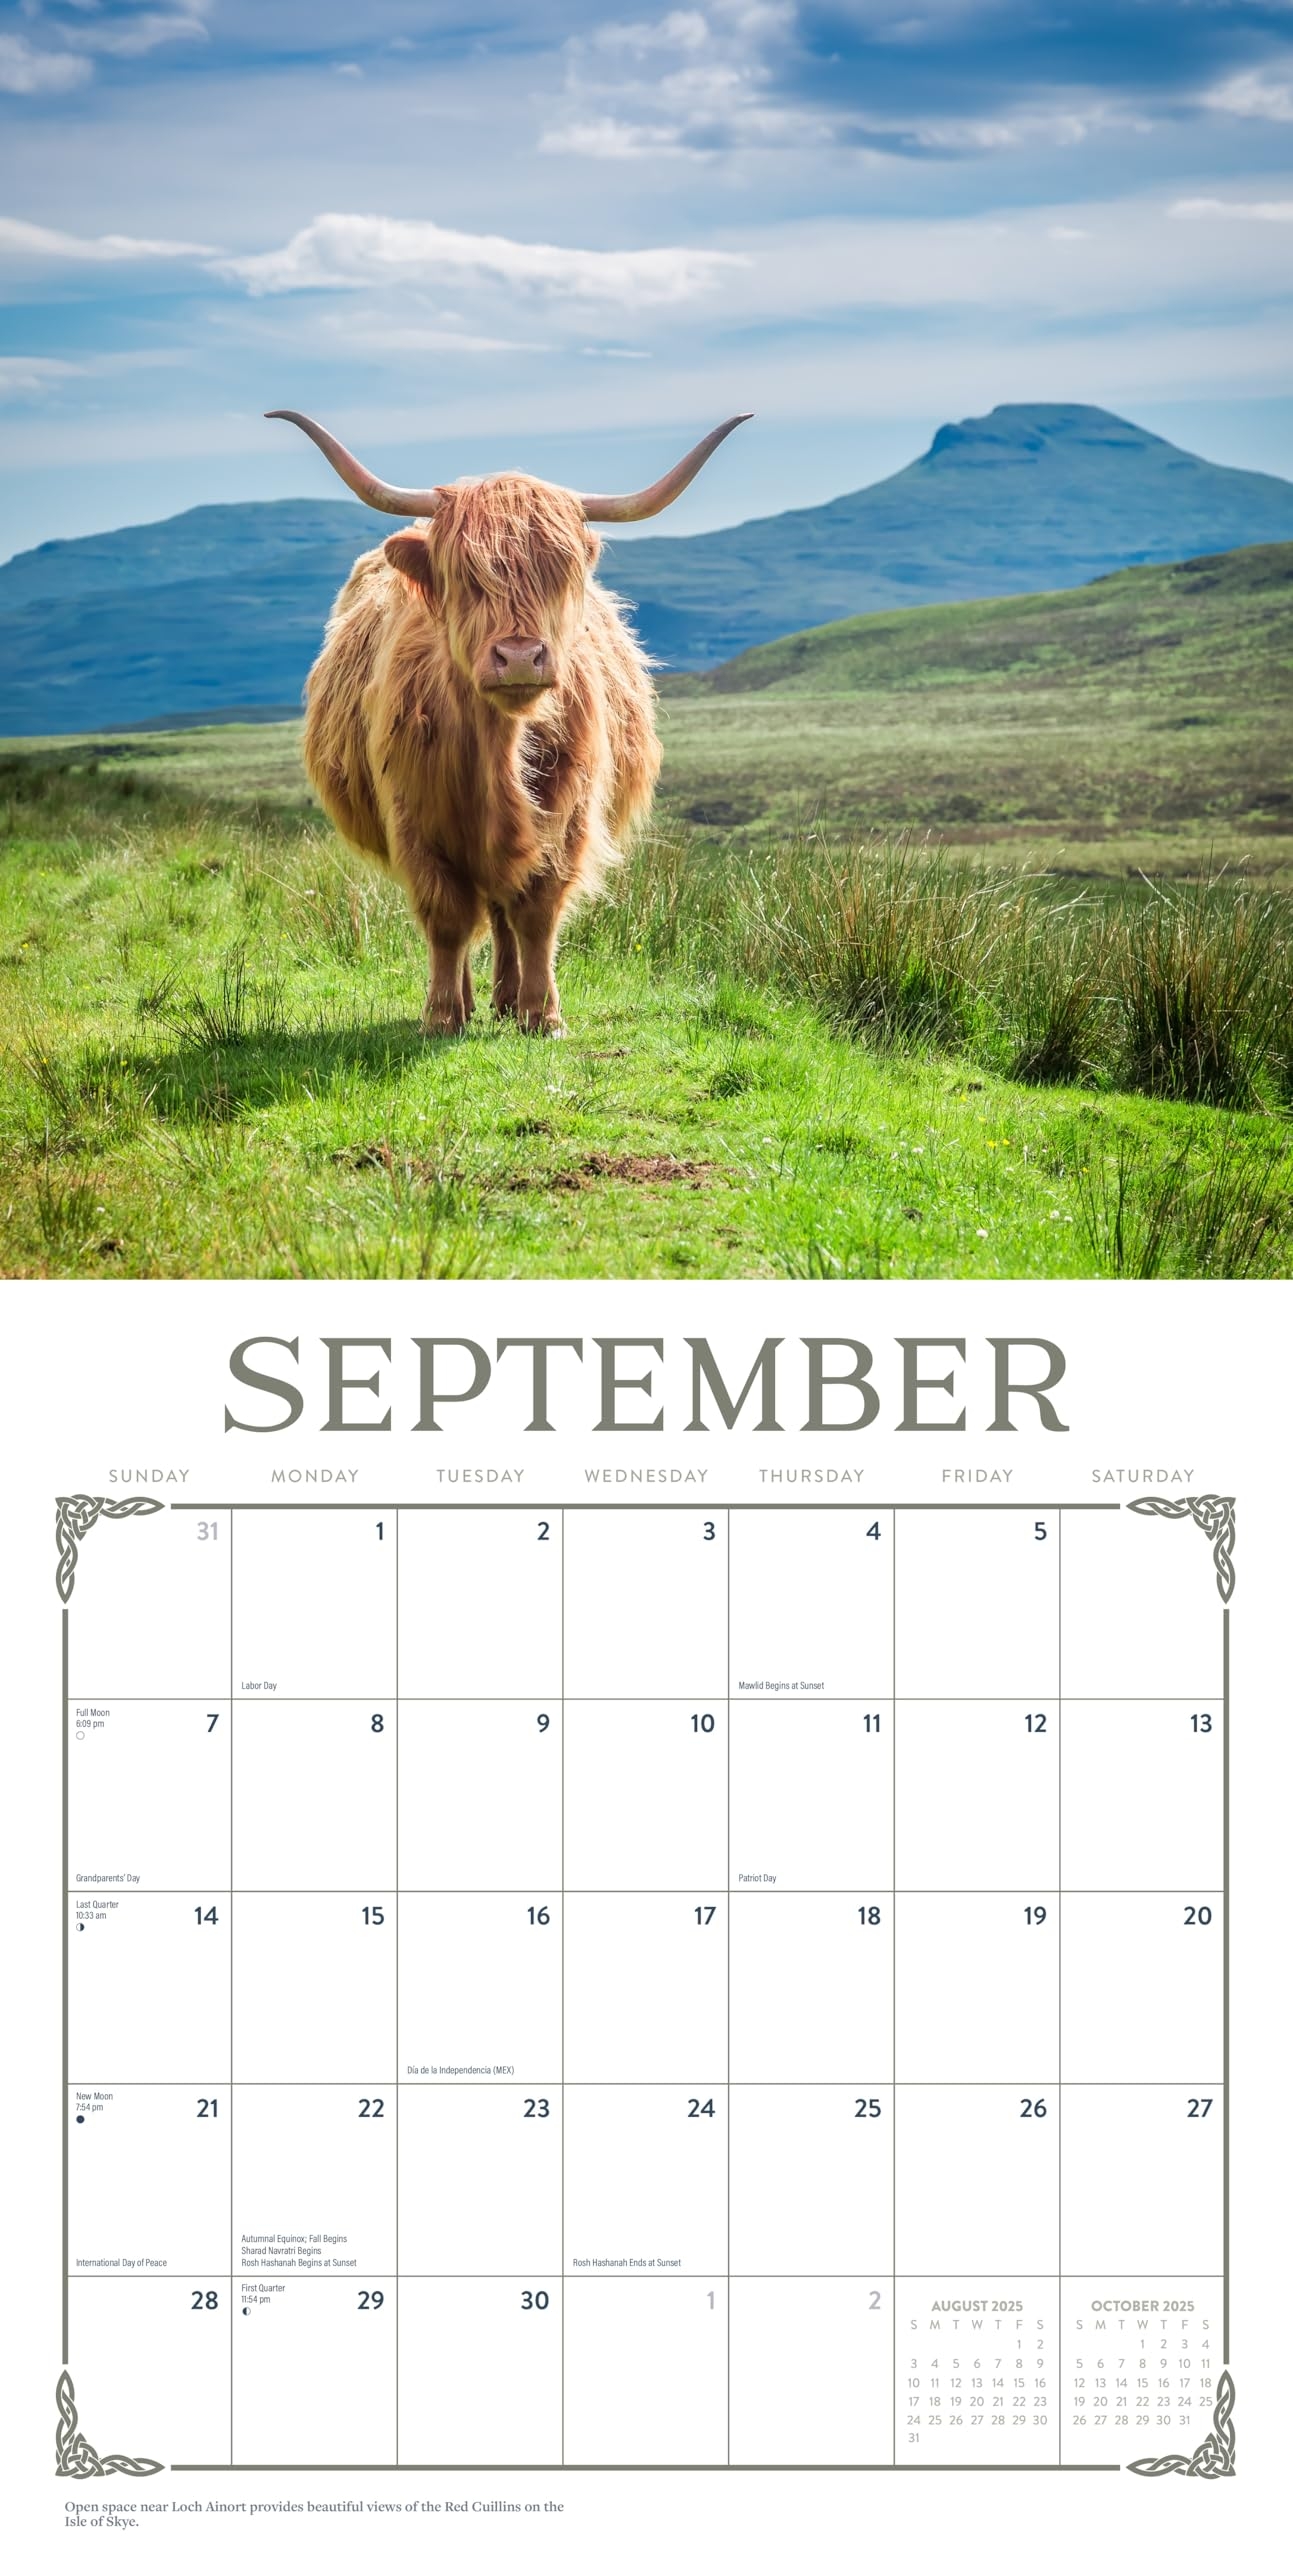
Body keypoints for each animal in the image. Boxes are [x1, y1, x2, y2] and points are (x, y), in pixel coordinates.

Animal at [268, 409, 750, 1034]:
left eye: (559, 573)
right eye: (467, 576)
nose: (520, 657)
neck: (498, 752)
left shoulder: (568, 816)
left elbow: (537, 914)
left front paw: (543, 1014)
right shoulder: (415, 820)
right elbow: (447, 918)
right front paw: (441, 1016)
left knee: (501, 911)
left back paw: (506, 998)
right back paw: (473, 1000)